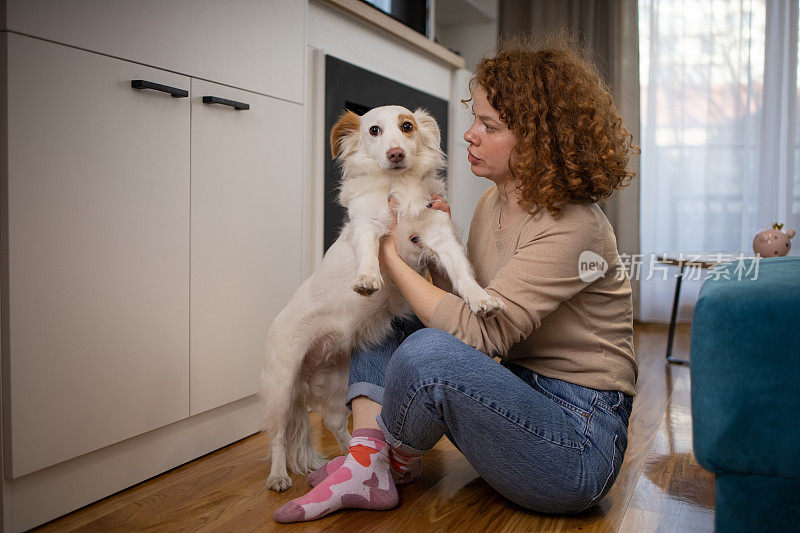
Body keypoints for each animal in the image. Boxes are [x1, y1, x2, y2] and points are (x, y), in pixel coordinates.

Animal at [260, 105, 504, 490]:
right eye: (374, 130)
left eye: (407, 127)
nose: (396, 154)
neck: (397, 186)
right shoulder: (367, 226)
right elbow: (369, 250)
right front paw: (367, 278)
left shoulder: (441, 236)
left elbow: (464, 276)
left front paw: (481, 298)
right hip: (283, 386)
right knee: (279, 435)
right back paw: (279, 475)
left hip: (337, 381)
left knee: (333, 422)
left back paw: (352, 457)